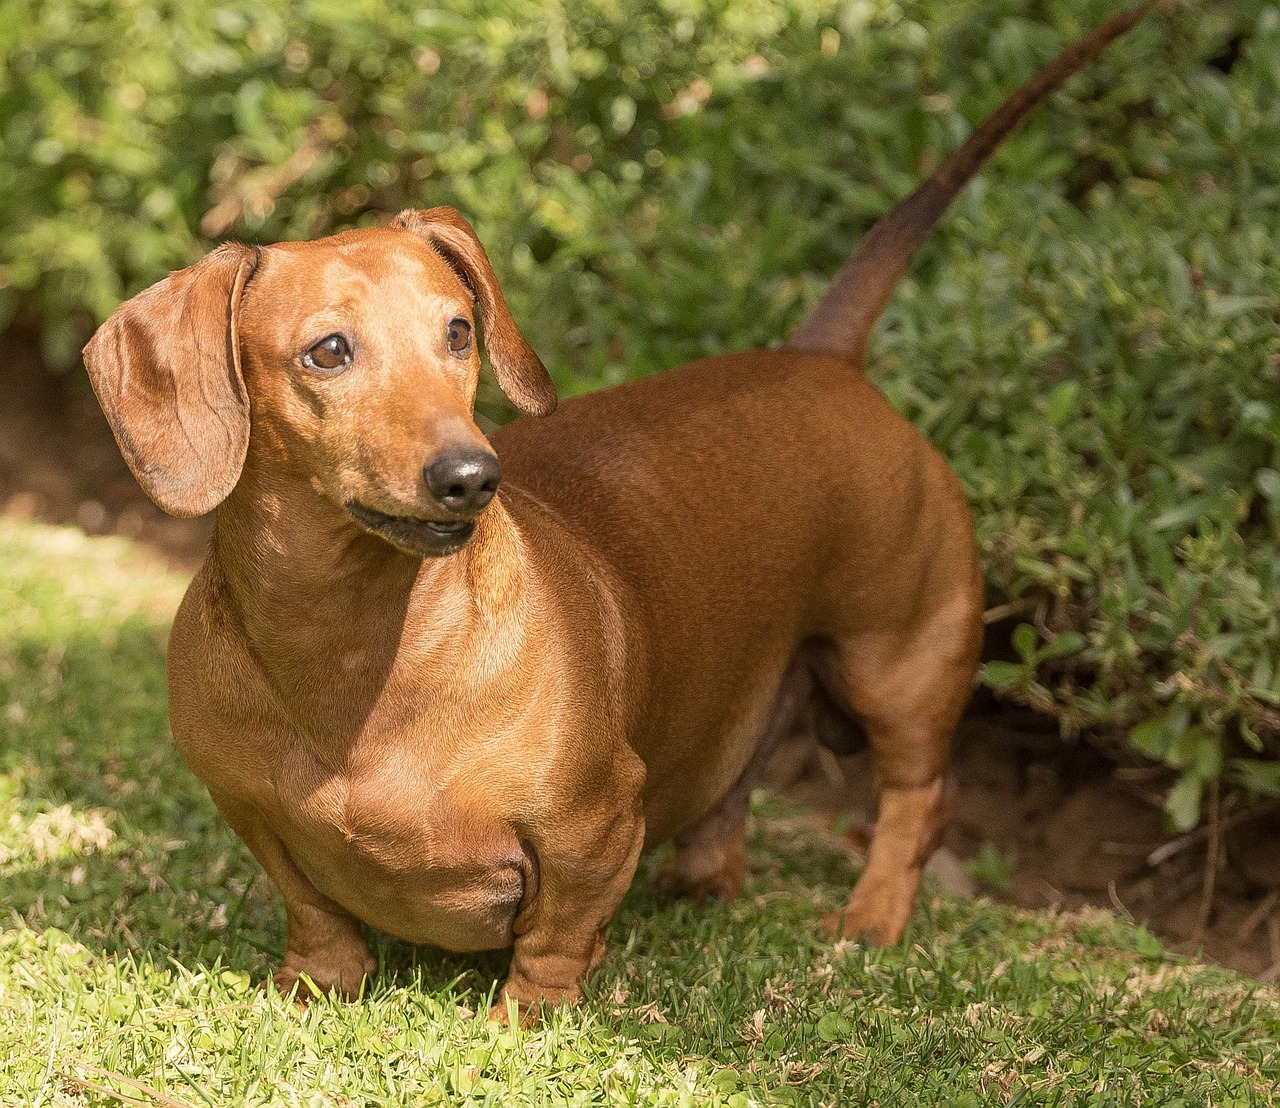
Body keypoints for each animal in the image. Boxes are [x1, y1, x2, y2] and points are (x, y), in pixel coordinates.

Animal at [87, 8, 1152, 1013]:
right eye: (328, 352)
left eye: (459, 331)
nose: (472, 475)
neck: (350, 656)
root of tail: (823, 357)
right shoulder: (251, 813)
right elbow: (315, 912)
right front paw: (316, 984)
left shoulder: (593, 824)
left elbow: (559, 936)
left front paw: (525, 1019)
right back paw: (709, 881)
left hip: (899, 661)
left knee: (918, 799)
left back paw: (872, 917)